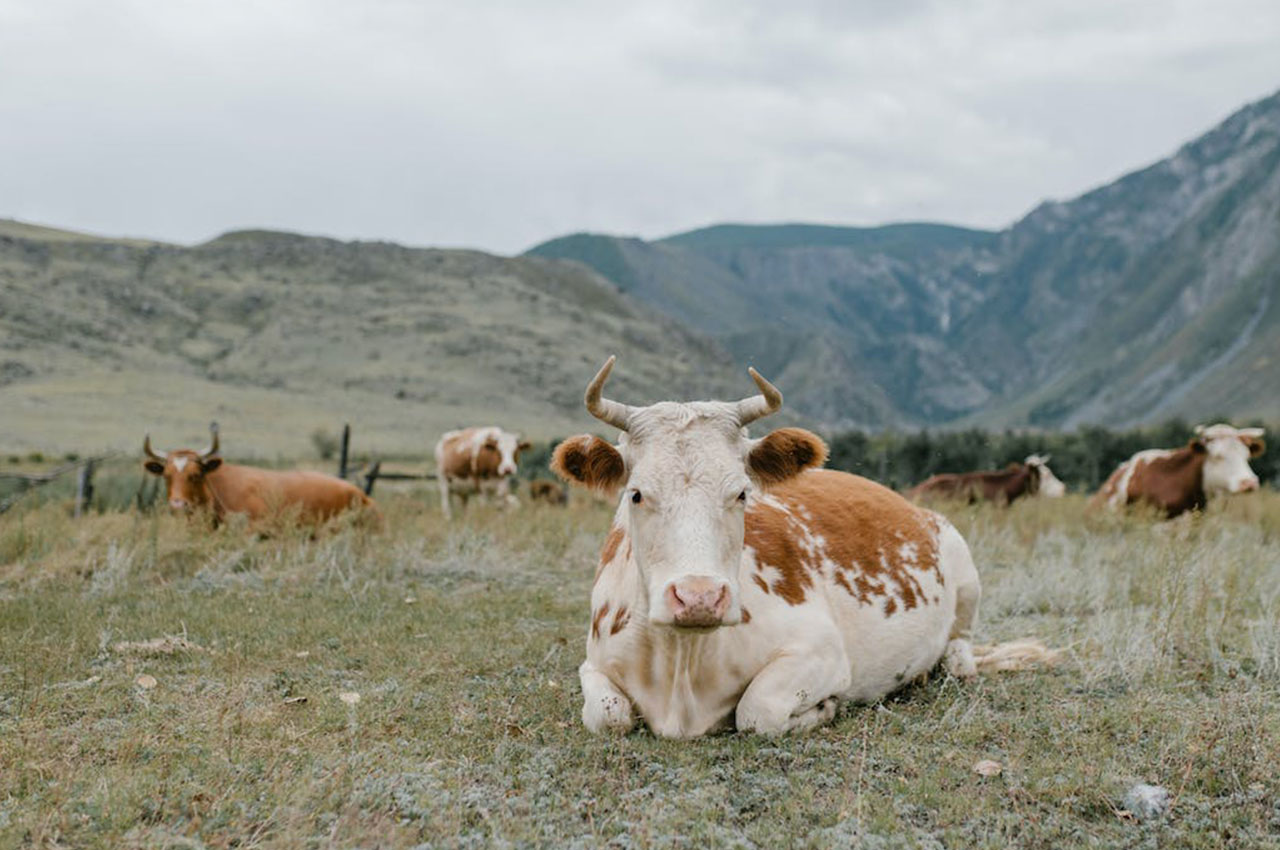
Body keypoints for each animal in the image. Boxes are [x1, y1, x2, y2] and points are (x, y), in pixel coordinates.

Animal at [552, 355, 1049, 737]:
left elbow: (758, 711)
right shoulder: (593, 663)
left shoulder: (821, 652)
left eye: (742, 492)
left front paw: (823, 709)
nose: (699, 598)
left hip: (965, 575)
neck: (682, 666)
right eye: (636, 494)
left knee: (961, 652)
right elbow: (608, 715)